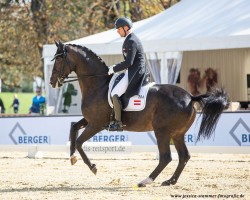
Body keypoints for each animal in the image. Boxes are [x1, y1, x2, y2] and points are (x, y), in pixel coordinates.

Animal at [49, 41, 229, 188]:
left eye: (59, 59)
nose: (51, 82)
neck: (98, 85)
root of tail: (190, 97)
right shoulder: (90, 120)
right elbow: (73, 128)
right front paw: (72, 157)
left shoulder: (96, 124)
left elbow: (79, 142)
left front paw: (93, 167)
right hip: (177, 133)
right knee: (184, 156)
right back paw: (170, 181)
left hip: (162, 131)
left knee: (166, 157)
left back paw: (145, 181)